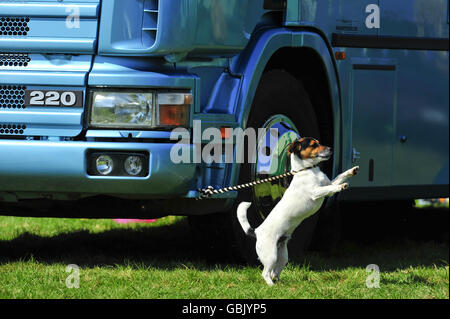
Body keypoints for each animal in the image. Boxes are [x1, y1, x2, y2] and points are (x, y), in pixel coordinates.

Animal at [236, 136, 358, 286]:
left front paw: (351, 171)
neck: (308, 170)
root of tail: (256, 231)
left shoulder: (328, 183)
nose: (330, 148)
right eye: (313, 145)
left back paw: (280, 283)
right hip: (270, 255)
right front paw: (341, 187)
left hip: (282, 255)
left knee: (274, 272)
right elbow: (329, 188)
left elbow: (339, 177)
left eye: (319, 143)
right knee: (265, 273)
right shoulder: (316, 192)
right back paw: (272, 286)